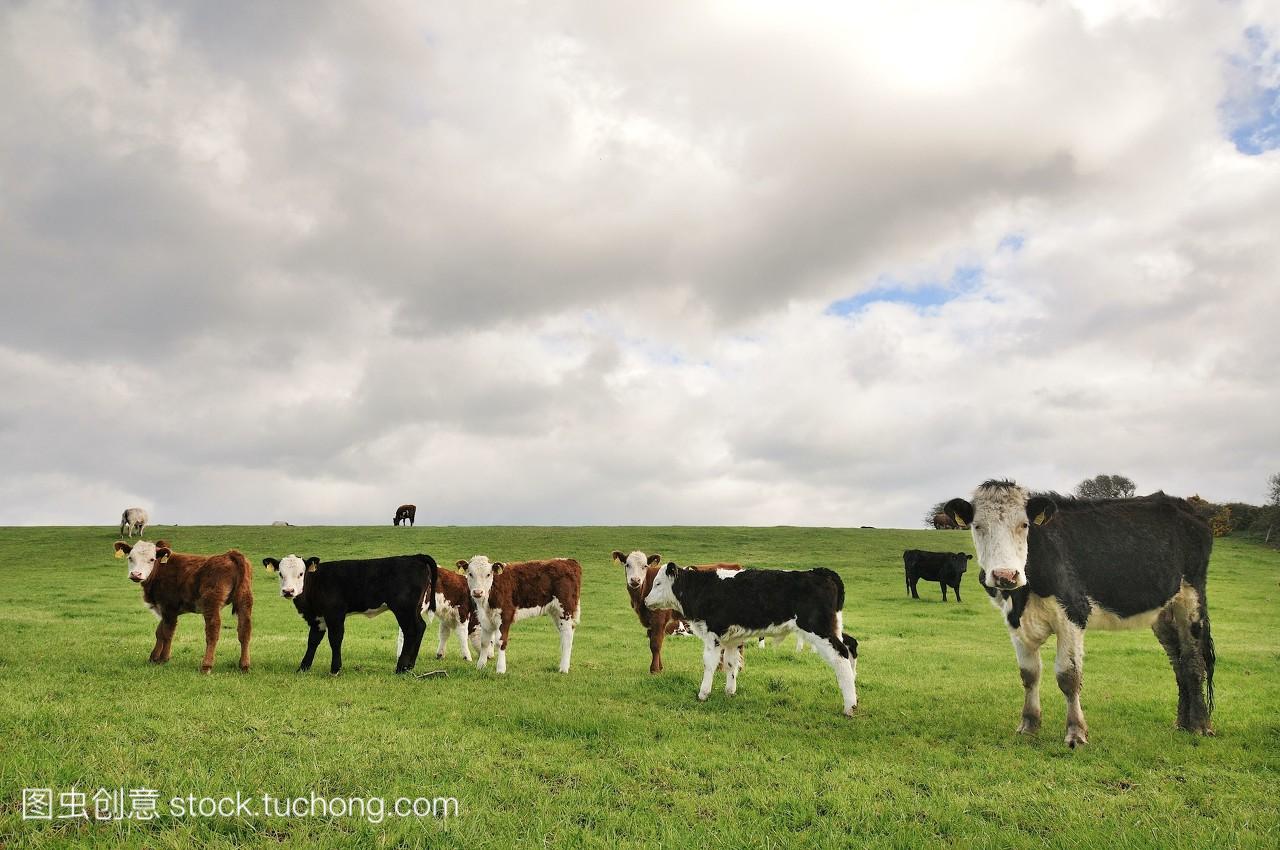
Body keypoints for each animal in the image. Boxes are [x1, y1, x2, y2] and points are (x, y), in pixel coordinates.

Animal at [115, 540, 254, 675]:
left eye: (151, 559)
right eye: (130, 557)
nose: (136, 574)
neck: (159, 570)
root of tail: (229, 555)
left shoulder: (169, 607)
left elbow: (167, 633)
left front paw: (163, 659)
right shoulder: (164, 609)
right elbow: (159, 632)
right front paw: (153, 657)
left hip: (211, 603)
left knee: (213, 631)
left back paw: (206, 666)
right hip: (244, 600)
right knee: (244, 630)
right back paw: (244, 666)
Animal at [262, 550, 437, 675]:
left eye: (300, 573)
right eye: (280, 574)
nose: (288, 591)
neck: (316, 583)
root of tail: (415, 557)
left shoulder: (335, 614)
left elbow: (335, 639)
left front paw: (335, 669)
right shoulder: (318, 618)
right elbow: (312, 641)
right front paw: (303, 668)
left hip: (403, 608)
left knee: (411, 631)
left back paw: (401, 668)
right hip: (414, 609)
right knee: (420, 627)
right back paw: (410, 666)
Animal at [640, 563, 860, 716]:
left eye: (658, 583)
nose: (646, 601)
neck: (702, 588)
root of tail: (819, 572)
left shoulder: (712, 635)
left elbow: (710, 664)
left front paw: (703, 693)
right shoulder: (732, 639)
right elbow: (730, 664)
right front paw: (730, 691)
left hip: (819, 629)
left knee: (841, 655)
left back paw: (849, 706)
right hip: (833, 626)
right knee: (851, 646)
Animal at [947, 481, 1213, 747]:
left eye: (1024, 525)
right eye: (978, 526)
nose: (1005, 575)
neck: (1022, 595)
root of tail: (1186, 507)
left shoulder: (1073, 613)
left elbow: (1068, 676)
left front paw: (1075, 732)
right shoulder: (1015, 622)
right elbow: (1029, 675)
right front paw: (1029, 725)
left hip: (1191, 597)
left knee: (1193, 660)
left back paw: (1200, 725)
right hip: (1164, 611)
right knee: (1177, 662)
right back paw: (1182, 723)